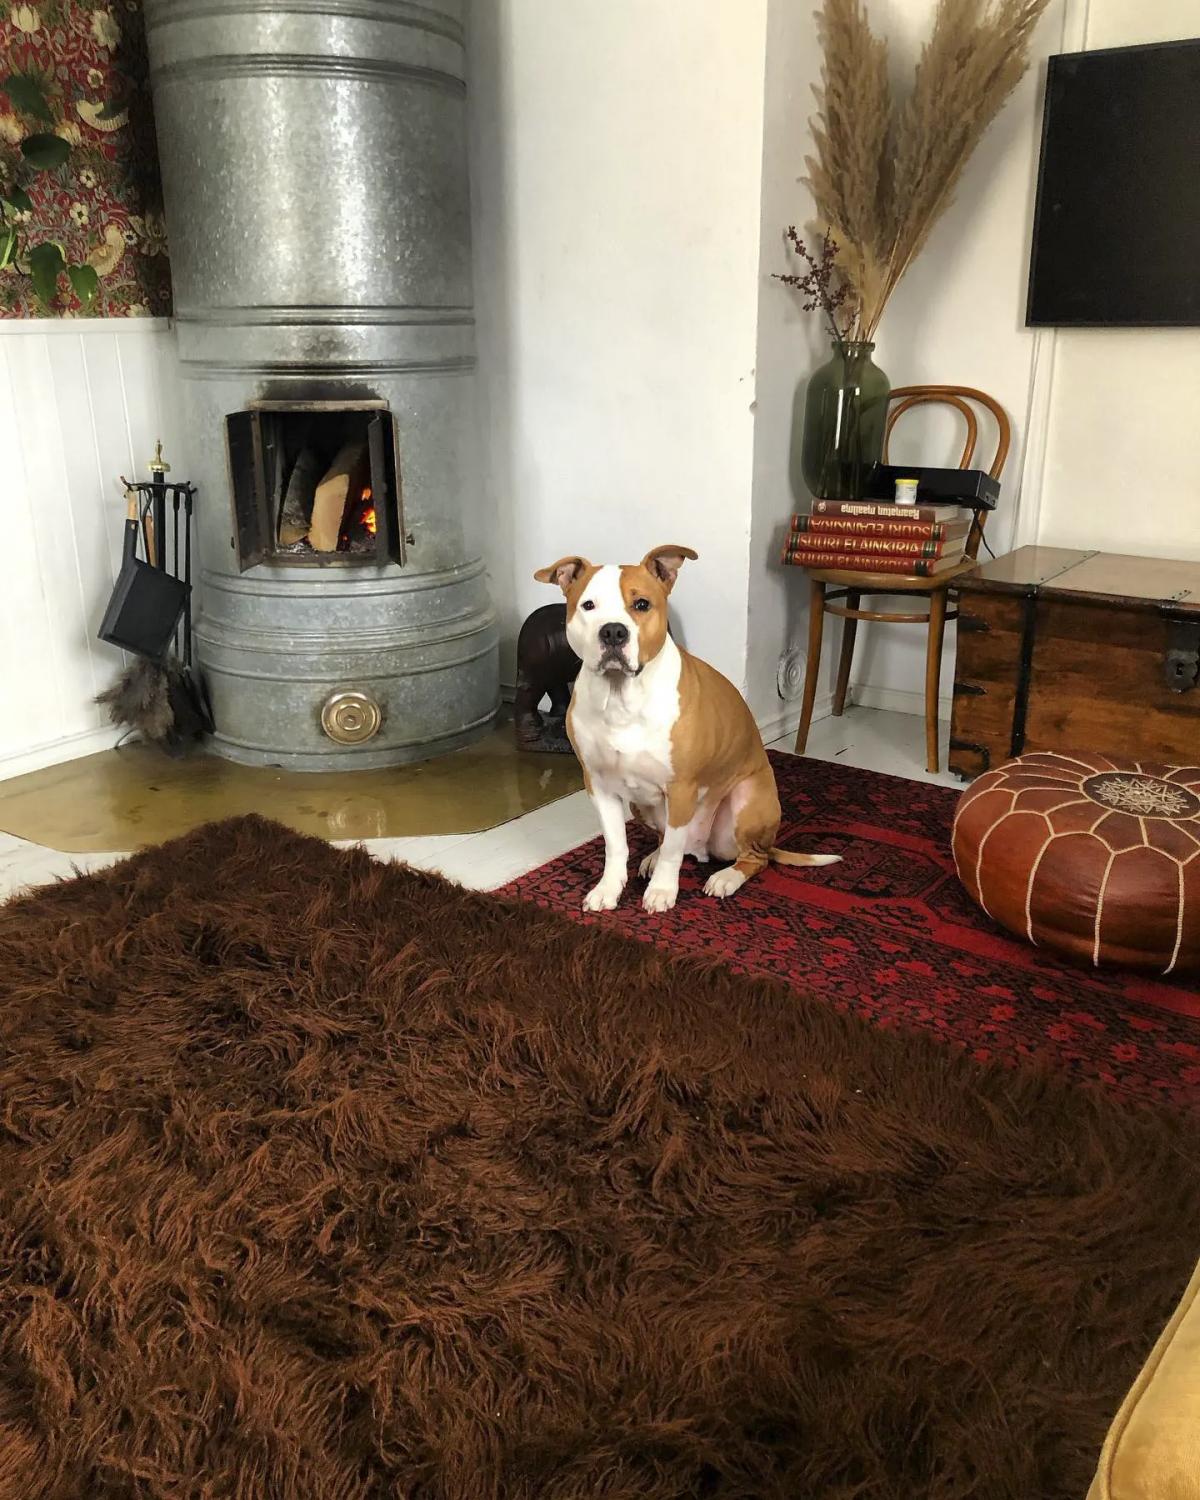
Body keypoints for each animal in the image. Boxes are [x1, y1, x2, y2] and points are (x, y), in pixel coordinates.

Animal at [534, 543, 834, 912]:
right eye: (589, 605)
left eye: (642, 604)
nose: (613, 631)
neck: (621, 697)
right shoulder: (599, 786)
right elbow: (616, 845)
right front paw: (608, 889)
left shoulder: (681, 789)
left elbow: (673, 853)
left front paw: (662, 891)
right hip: (641, 806)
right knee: (670, 841)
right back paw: (652, 858)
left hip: (746, 802)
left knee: (751, 858)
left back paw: (725, 878)